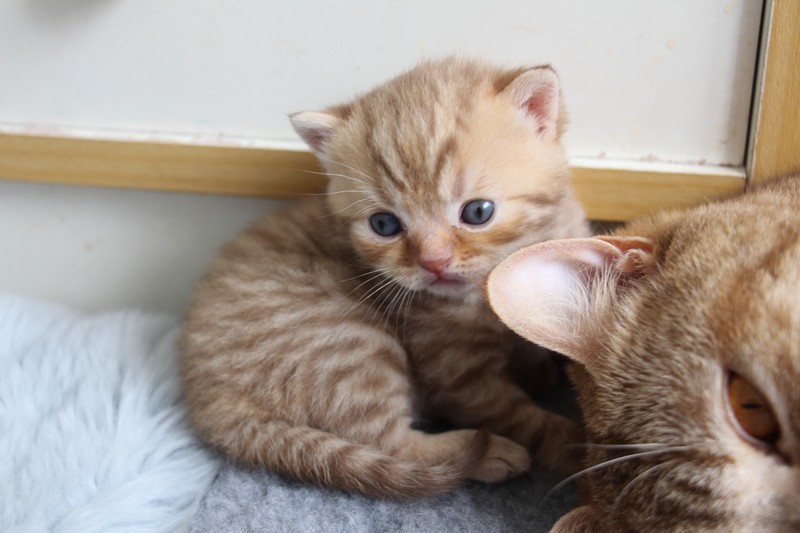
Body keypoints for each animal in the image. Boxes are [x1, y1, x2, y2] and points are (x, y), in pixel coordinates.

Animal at [184, 59, 592, 498]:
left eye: (477, 212)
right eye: (384, 224)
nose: (434, 262)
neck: (488, 288)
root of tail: (207, 396)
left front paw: (536, 369)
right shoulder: (457, 378)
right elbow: (521, 418)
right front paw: (576, 447)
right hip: (350, 341)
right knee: (391, 442)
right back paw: (487, 454)